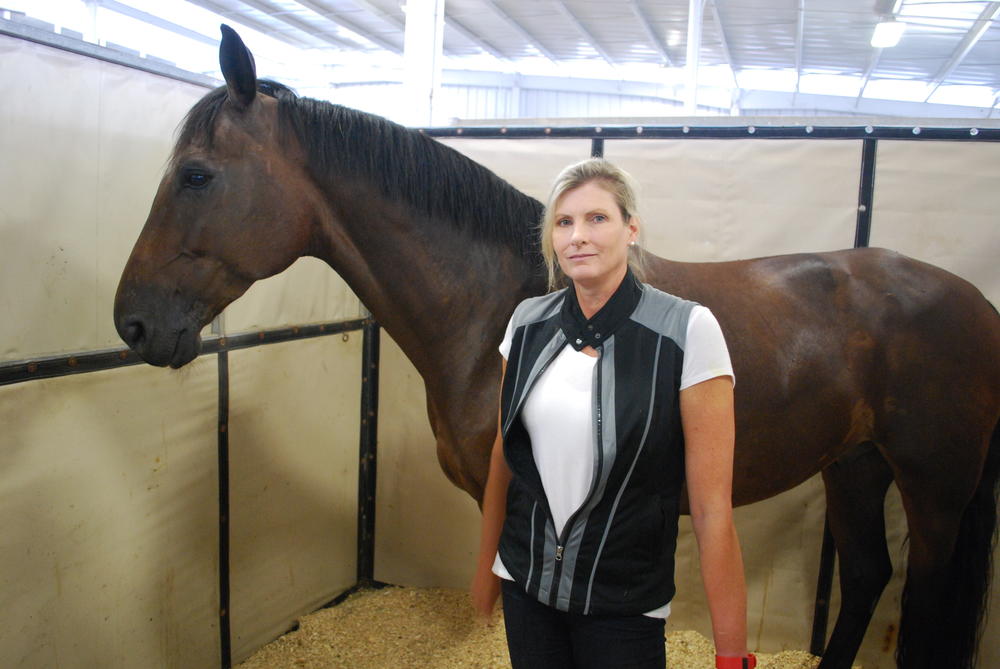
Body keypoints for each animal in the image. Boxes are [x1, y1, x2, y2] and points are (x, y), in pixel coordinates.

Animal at [117, 24, 1000, 668]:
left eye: (195, 175)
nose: (131, 321)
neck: (495, 311)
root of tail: (976, 303)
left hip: (932, 491)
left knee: (917, 602)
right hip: (855, 466)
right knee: (867, 578)